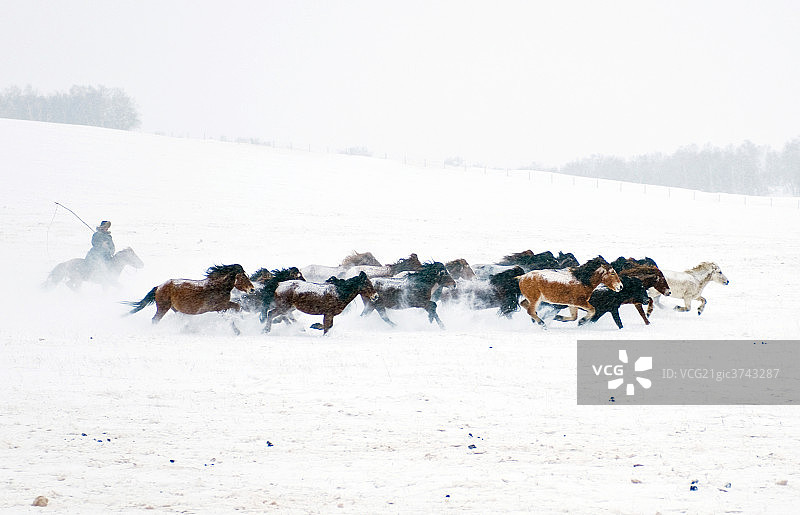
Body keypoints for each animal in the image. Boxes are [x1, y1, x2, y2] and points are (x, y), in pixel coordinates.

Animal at [125, 264, 255, 333]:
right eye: (242, 277)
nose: (252, 289)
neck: (217, 287)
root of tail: (158, 287)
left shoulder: (222, 307)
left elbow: (235, 310)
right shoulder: (220, 306)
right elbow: (236, 308)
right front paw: (239, 326)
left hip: (175, 309)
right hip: (163, 308)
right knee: (155, 320)